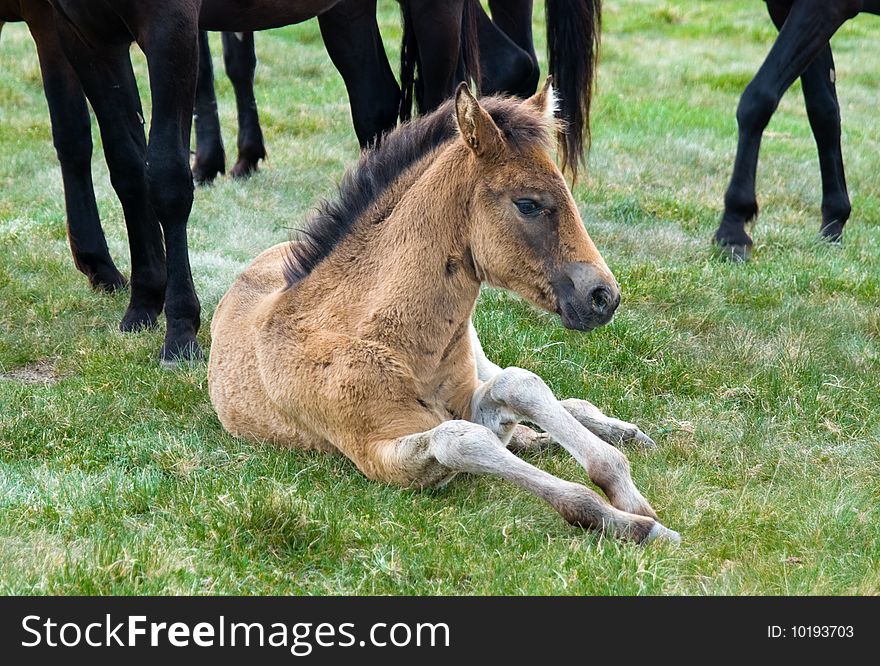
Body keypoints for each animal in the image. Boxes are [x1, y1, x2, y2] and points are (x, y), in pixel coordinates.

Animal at [208, 80, 680, 544]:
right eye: (528, 203)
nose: (604, 296)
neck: (382, 339)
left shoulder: (471, 398)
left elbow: (520, 383)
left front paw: (624, 488)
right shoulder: (378, 455)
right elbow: (462, 440)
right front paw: (632, 523)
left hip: (478, 352)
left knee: (540, 392)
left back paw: (619, 431)